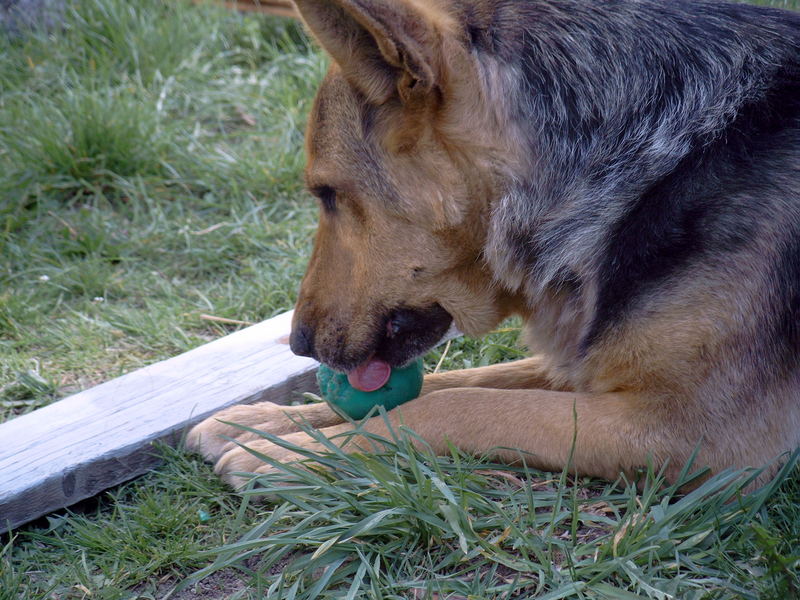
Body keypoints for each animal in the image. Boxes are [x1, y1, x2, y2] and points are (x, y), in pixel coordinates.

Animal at [188, 0, 800, 490]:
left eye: (327, 193)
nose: (298, 345)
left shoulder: (695, 434)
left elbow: (451, 406)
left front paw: (293, 455)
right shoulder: (589, 367)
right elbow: (456, 382)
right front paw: (271, 422)